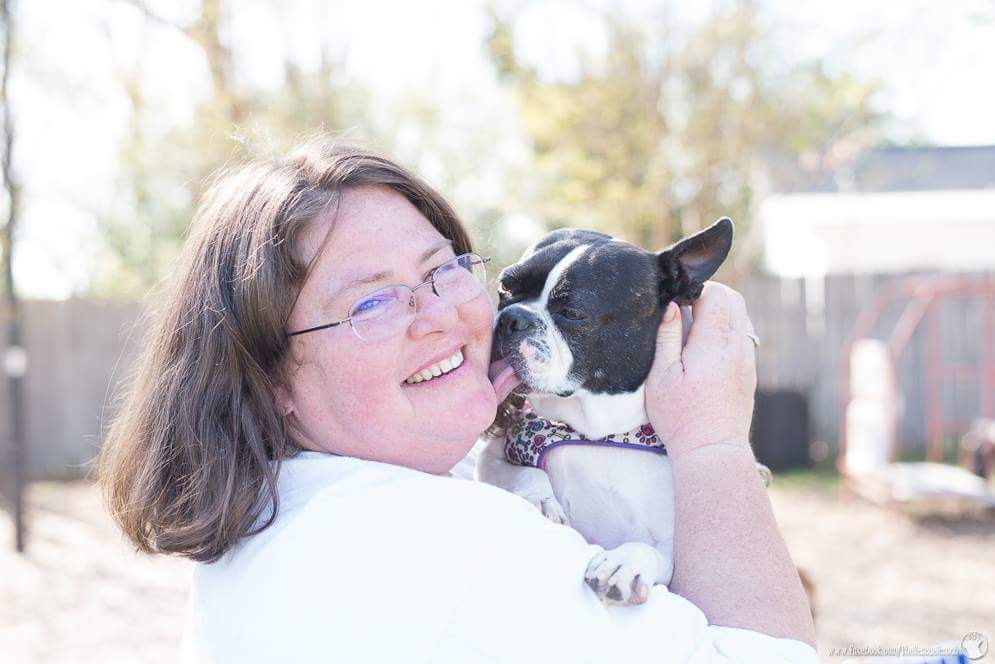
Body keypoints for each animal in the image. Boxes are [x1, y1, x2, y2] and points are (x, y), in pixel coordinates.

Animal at [476, 218, 756, 600]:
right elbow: (525, 473)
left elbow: (652, 551)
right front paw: (542, 500)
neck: (597, 432)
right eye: (505, 288)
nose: (510, 318)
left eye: (572, 313)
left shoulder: (673, 553)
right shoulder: (491, 458)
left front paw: (625, 562)